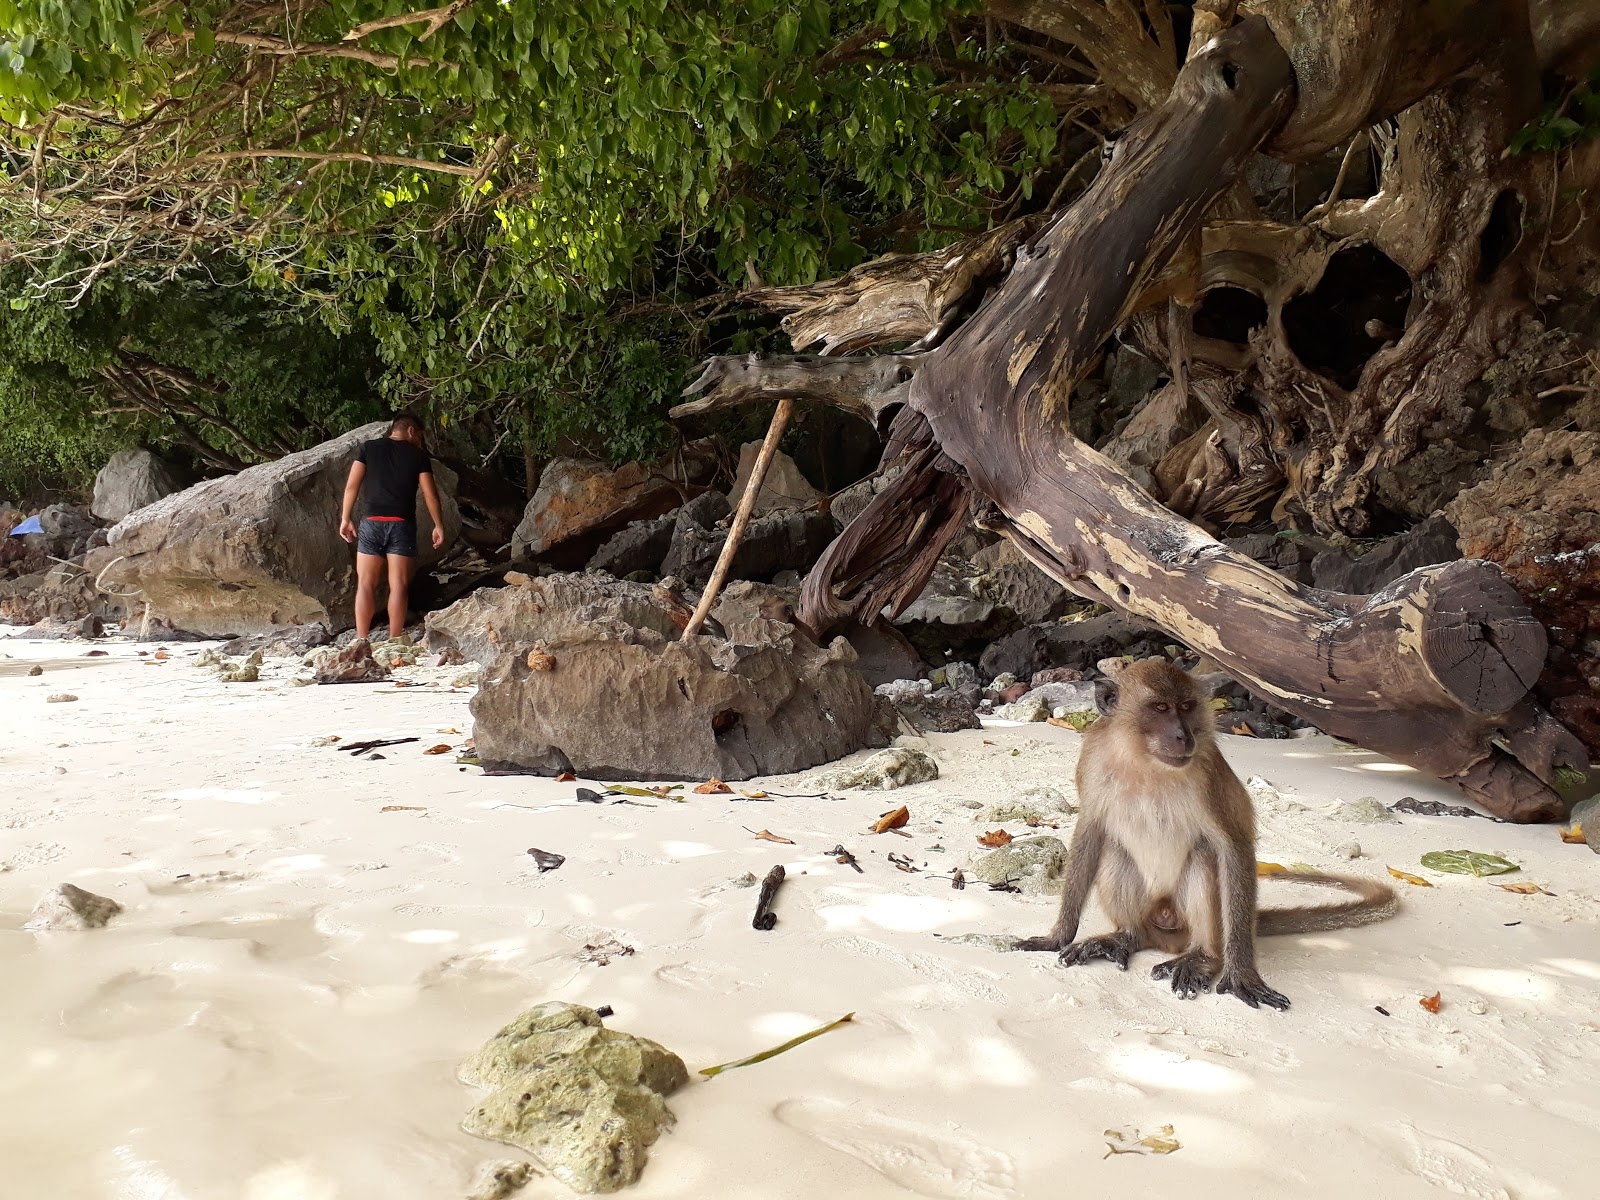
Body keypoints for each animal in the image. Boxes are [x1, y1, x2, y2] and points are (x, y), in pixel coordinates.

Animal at [1015, 659, 1398, 1010]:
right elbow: (1090, 833)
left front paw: (1241, 973)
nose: (1183, 736)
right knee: (1115, 851)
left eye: (1186, 707)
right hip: (1151, 919)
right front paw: (1058, 937)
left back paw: (1204, 958)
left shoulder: (1206, 771)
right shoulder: (1092, 759)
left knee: (1204, 857)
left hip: (1191, 926)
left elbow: (1233, 846)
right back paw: (1126, 937)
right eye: (1160, 708)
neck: (1144, 761)